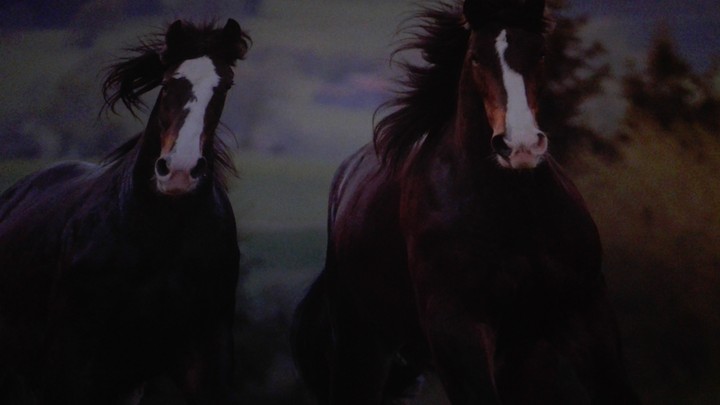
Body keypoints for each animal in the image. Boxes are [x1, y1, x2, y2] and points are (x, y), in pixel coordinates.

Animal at [0, 19, 249, 405]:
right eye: (168, 83)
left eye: (224, 86)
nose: (179, 171)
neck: (160, 240)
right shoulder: (69, 362)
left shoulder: (206, 355)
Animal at [292, 1, 639, 404]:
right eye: (475, 57)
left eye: (539, 52)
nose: (520, 145)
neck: (513, 214)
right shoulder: (456, 330)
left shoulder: (584, 314)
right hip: (360, 346)